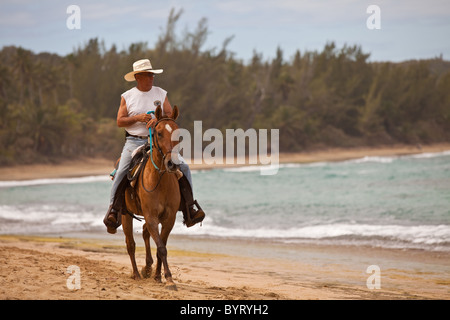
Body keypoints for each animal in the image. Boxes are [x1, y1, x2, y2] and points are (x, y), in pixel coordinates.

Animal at [123, 105, 181, 290]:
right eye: (159, 133)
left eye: (178, 133)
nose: (172, 164)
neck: (160, 180)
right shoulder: (151, 217)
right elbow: (161, 247)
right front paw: (169, 279)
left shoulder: (169, 218)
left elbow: (161, 246)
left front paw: (158, 276)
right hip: (125, 214)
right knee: (130, 244)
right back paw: (136, 274)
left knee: (144, 233)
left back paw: (147, 268)